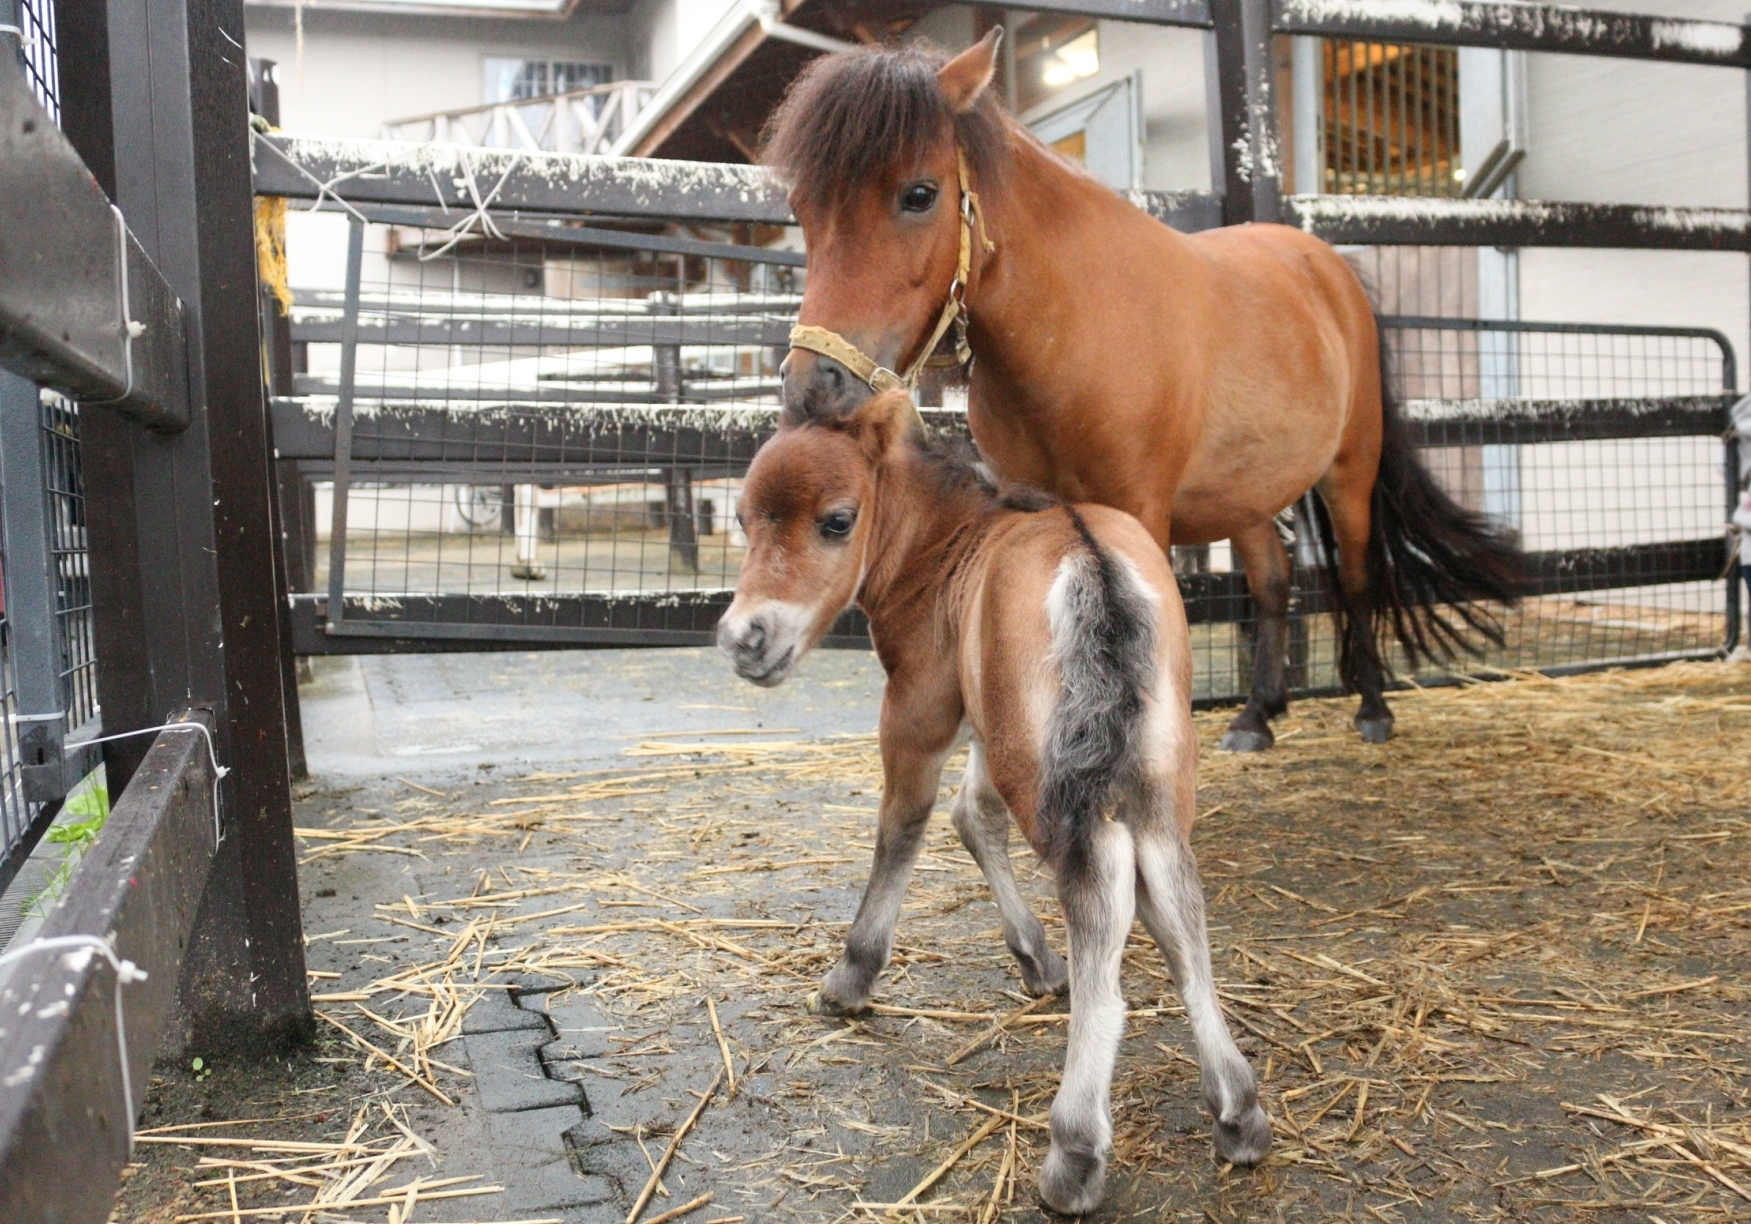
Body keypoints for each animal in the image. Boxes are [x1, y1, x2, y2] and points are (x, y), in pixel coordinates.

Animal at [717, 395, 1267, 1218]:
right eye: (744, 519)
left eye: (837, 520)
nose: (745, 639)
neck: (948, 546)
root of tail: (1090, 562)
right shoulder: (987, 724)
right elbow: (972, 818)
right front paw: (1037, 961)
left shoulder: (917, 708)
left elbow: (904, 829)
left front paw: (850, 979)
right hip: (1147, 764)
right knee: (1172, 890)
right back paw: (1237, 1107)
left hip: (1048, 770)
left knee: (1100, 882)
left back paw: (1075, 1149)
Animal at [759, 31, 1526, 756]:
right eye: (802, 206)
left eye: (918, 194)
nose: (811, 385)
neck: (1074, 329)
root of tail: (1327, 269)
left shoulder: (1139, 512)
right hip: (1246, 494)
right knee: (1273, 583)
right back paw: (1257, 715)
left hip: (1349, 474)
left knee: (1359, 577)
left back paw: (1371, 708)